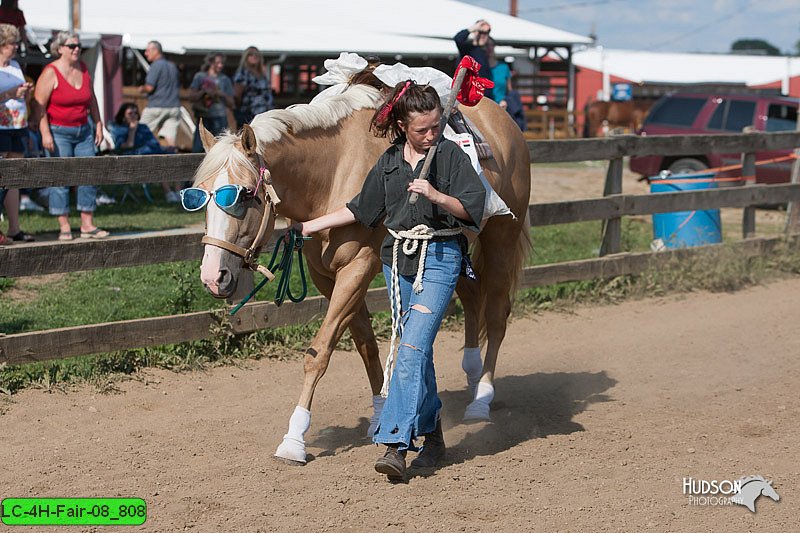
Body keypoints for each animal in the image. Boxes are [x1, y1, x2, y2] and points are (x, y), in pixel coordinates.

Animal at [194, 81, 532, 464]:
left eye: (239, 196)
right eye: (199, 197)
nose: (213, 276)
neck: (332, 172)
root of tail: (504, 119)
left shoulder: (357, 267)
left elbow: (319, 353)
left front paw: (294, 439)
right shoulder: (327, 277)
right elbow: (366, 344)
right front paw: (378, 416)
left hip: (501, 239)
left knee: (497, 314)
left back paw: (482, 399)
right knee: (473, 298)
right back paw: (472, 376)